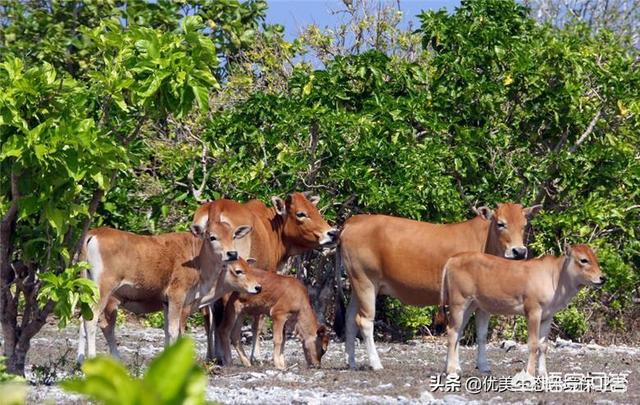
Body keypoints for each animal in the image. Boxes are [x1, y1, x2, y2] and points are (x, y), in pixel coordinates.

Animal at [77, 223, 260, 362]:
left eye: (233, 236)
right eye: (212, 237)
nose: (232, 253)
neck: (197, 261)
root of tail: (94, 233)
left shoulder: (166, 302)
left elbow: (166, 331)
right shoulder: (177, 297)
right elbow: (174, 331)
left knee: (84, 318)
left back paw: (81, 361)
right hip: (104, 290)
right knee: (94, 320)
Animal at [191, 192, 338, 360]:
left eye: (315, 210)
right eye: (301, 213)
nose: (332, 233)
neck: (271, 229)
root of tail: (217, 206)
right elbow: (259, 319)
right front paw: (256, 355)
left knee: (208, 314)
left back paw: (213, 355)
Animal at [340, 202, 540, 370]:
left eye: (523, 225)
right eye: (500, 224)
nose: (519, 251)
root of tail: (353, 221)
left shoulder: (482, 302)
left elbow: (480, 333)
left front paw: (482, 366)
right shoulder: (459, 298)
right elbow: (457, 329)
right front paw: (454, 366)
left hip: (357, 285)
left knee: (349, 319)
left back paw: (351, 362)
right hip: (366, 281)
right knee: (364, 321)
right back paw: (376, 363)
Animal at [442, 243, 608, 376]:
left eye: (596, 259)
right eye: (583, 260)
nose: (602, 278)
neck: (555, 278)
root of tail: (452, 259)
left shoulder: (548, 316)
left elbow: (543, 346)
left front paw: (543, 374)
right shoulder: (533, 310)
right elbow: (533, 344)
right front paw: (529, 372)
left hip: (472, 305)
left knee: (459, 332)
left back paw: (459, 368)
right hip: (459, 302)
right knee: (451, 331)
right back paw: (451, 370)